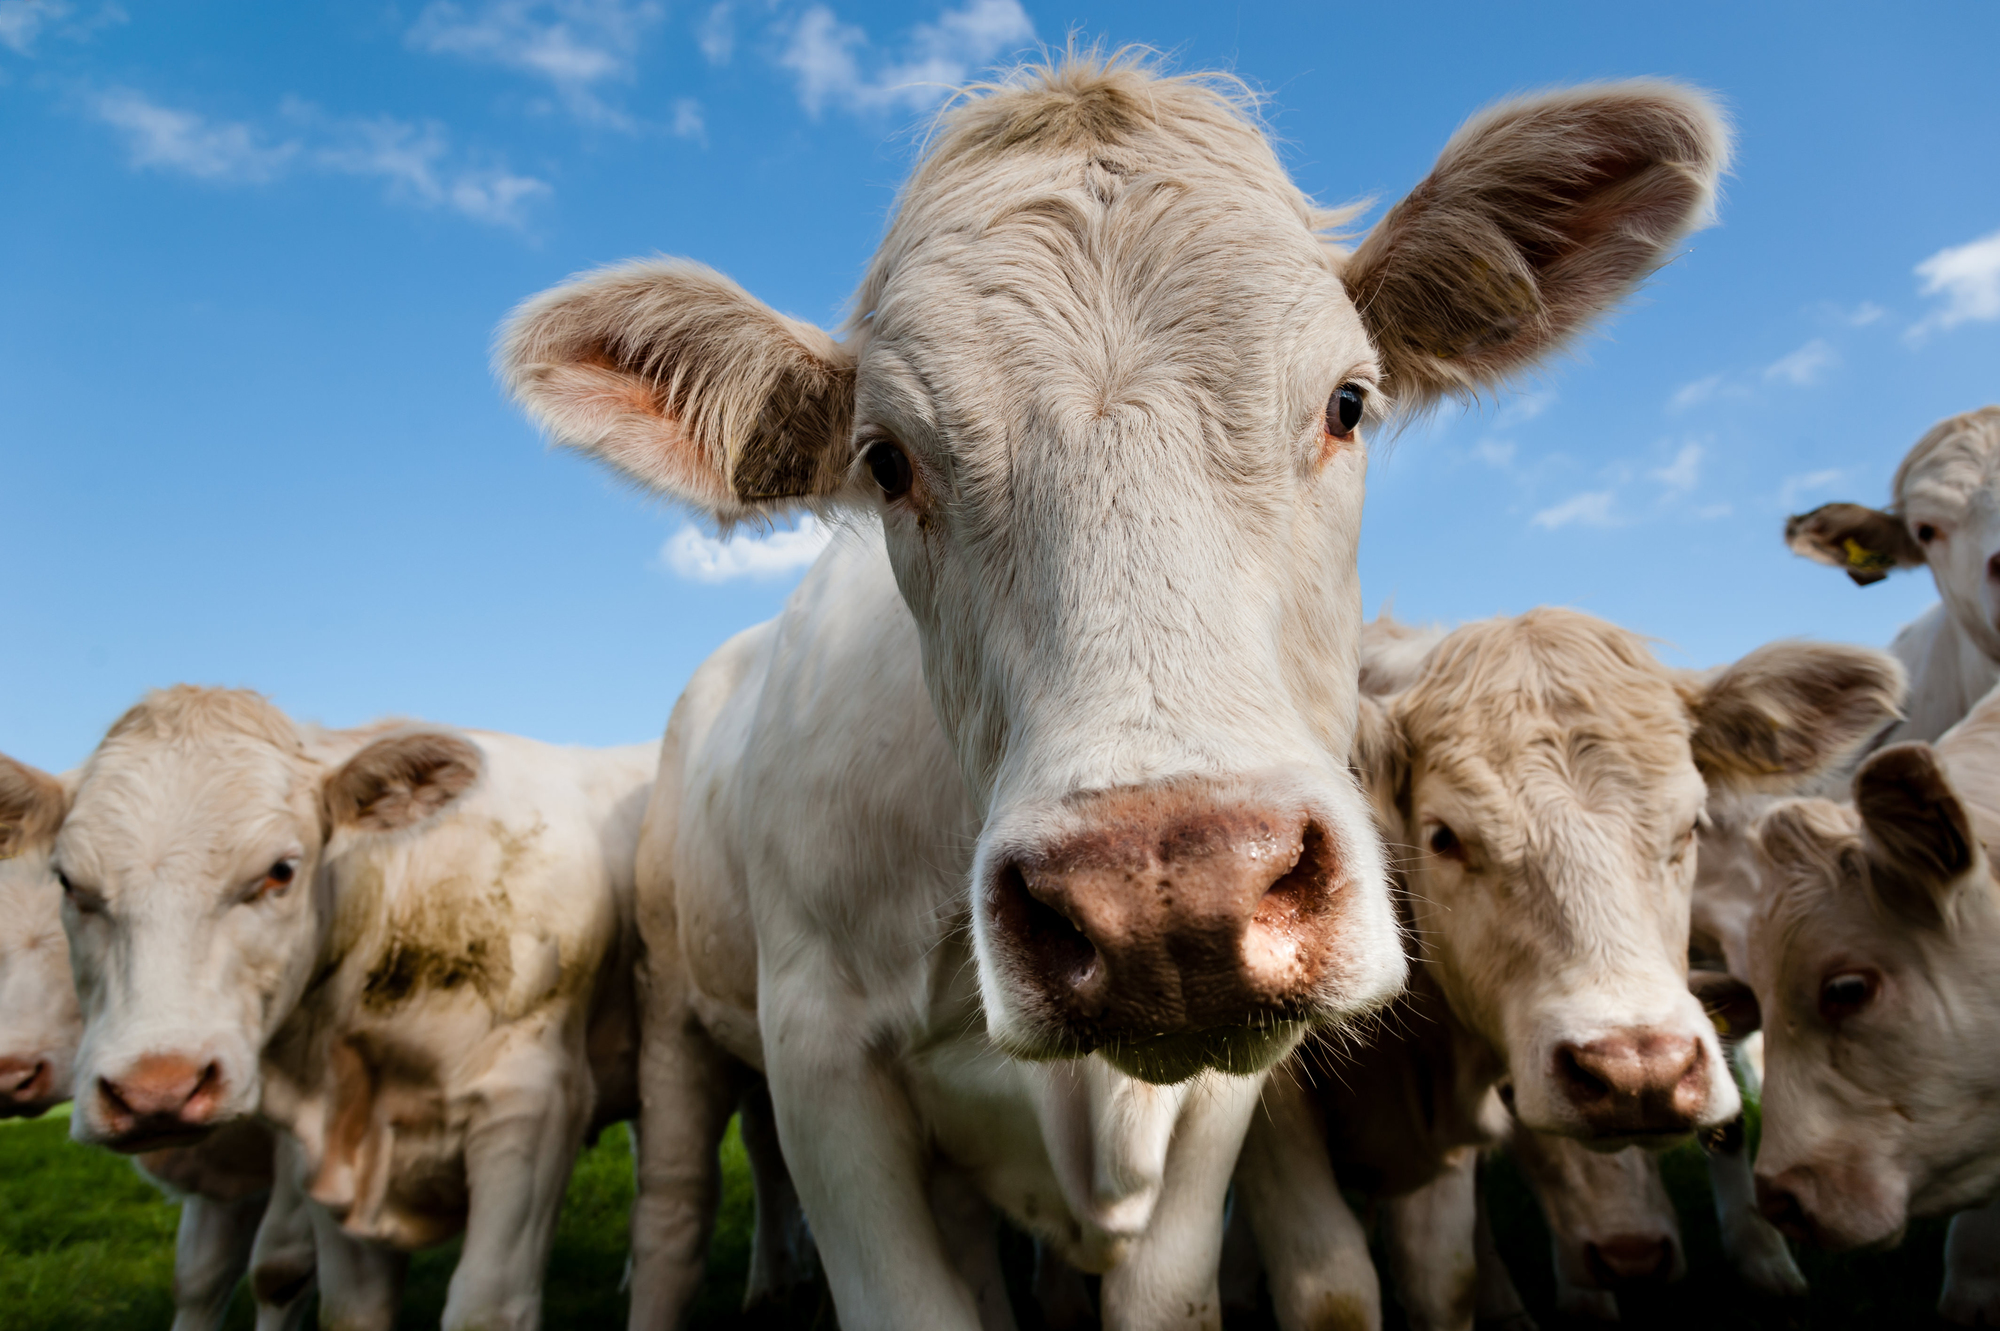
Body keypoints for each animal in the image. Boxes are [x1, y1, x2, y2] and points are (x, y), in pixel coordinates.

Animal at [45, 687, 661, 1331]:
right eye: (67, 881)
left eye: (281, 871)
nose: (156, 1091)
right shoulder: (323, 1150)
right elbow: (348, 1308)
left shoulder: (531, 1108)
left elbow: (486, 1306)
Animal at [501, 53, 1730, 1329]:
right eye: (885, 460)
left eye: (1346, 402)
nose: (1166, 898)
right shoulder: (818, 1052)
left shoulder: (1225, 1108)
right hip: (678, 1014)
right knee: (674, 1205)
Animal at [1233, 609, 1904, 1331]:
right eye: (1443, 837)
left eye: (1692, 825)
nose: (1638, 1071)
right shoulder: (1272, 1108)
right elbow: (1334, 1295)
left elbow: (1445, 1279)